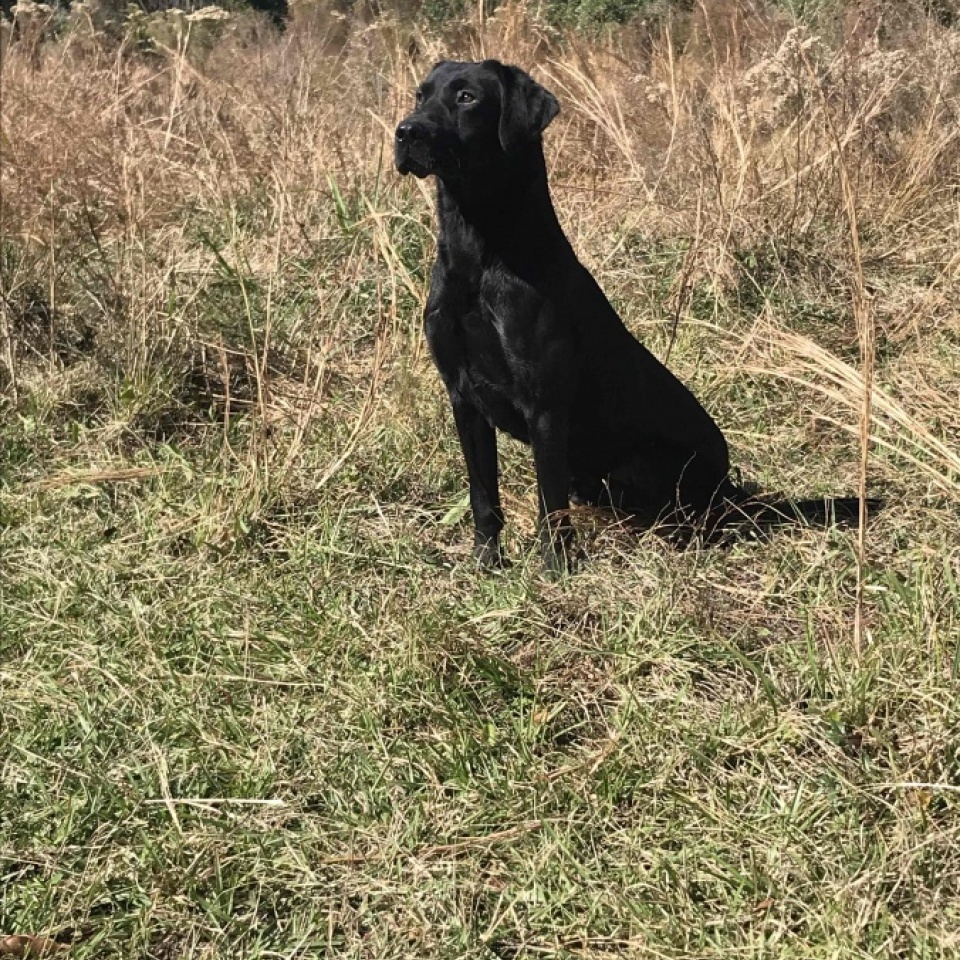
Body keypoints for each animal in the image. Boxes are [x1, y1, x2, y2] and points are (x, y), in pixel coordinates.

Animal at [398, 62, 872, 568]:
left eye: (466, 97)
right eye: (421, 95)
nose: (405, 132)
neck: (477, 255)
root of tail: (729, 489)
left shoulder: (544, 404)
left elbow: (550, 501)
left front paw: (554, 567)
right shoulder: (463, 397)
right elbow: (483, 493)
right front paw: (486, 561)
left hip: (642, 461)